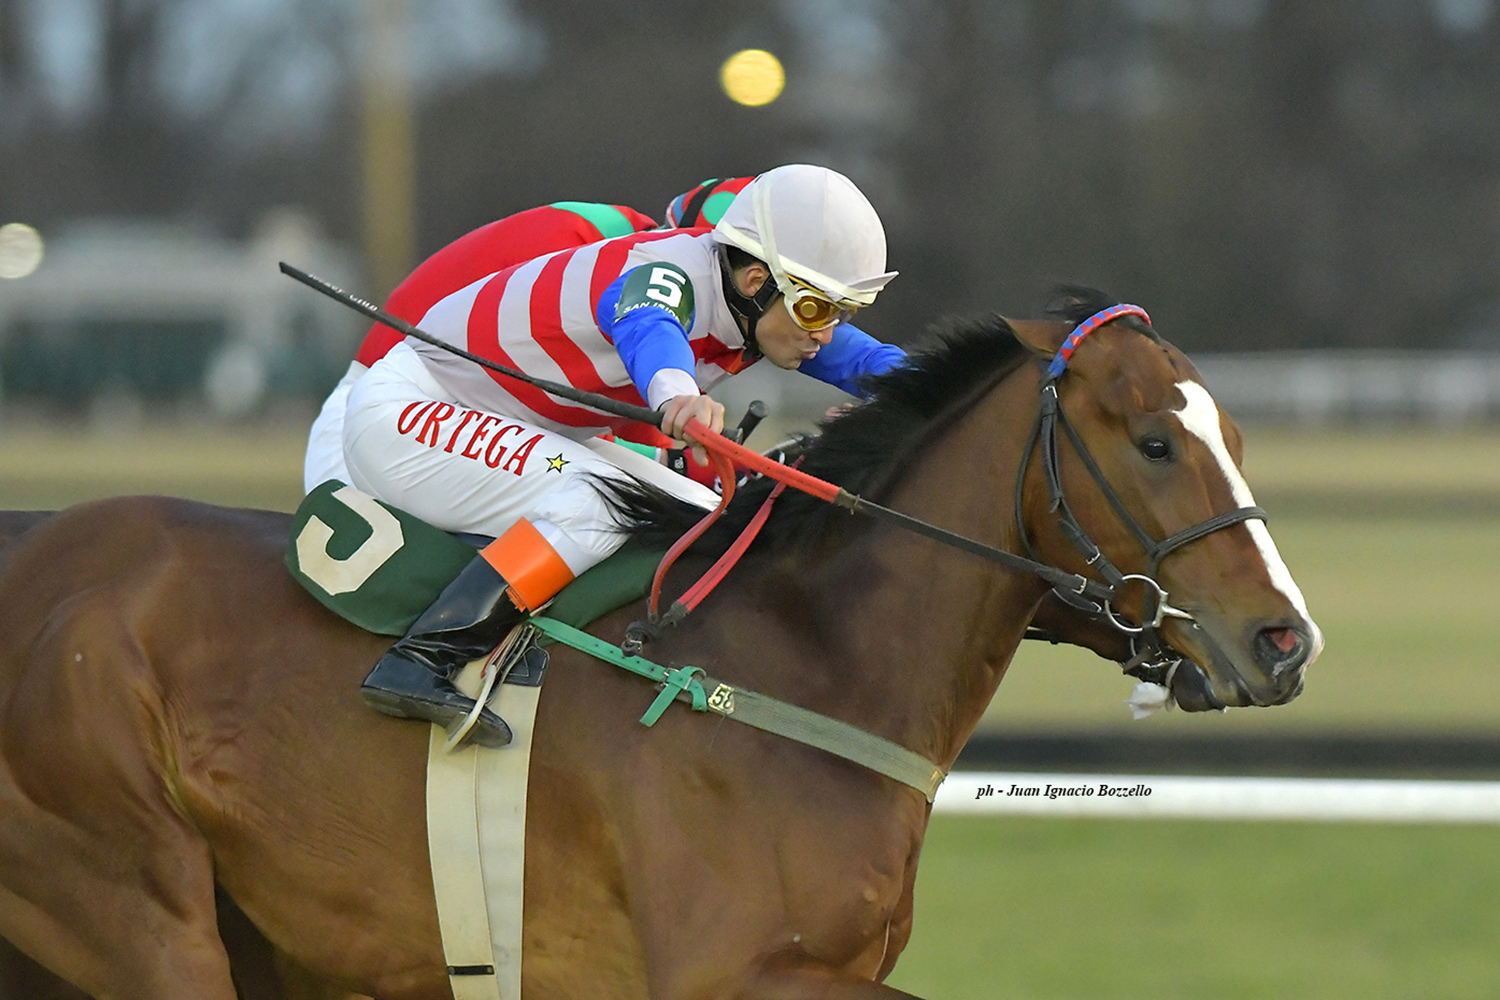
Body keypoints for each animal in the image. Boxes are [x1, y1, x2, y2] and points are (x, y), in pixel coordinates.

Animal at [0, 292, 1320, 999]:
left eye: (1237, 430)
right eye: (1155, 440)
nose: (1284, 638)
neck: (803, 657)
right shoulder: (728, 969)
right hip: (131, 897)